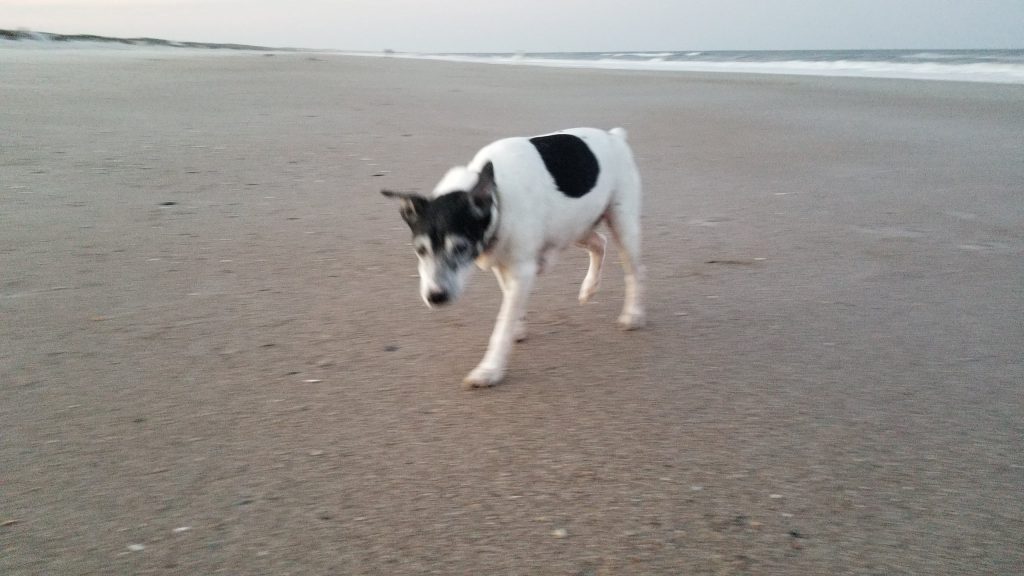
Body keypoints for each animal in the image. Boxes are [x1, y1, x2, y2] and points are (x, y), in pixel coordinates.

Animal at [380, 125, 643, 385]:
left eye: (461, 248)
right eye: (420, 250)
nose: (436, 296)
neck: (497, 199)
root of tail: (614, 136)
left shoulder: (521, 271)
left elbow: (502, 325)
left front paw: (489, 369)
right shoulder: (502, 265)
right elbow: (509, 300)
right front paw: (518, 325)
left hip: (622, 225)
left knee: (634, 270)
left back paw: (633, 314)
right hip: (575, 227)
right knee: (600, 243)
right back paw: (589, 288)